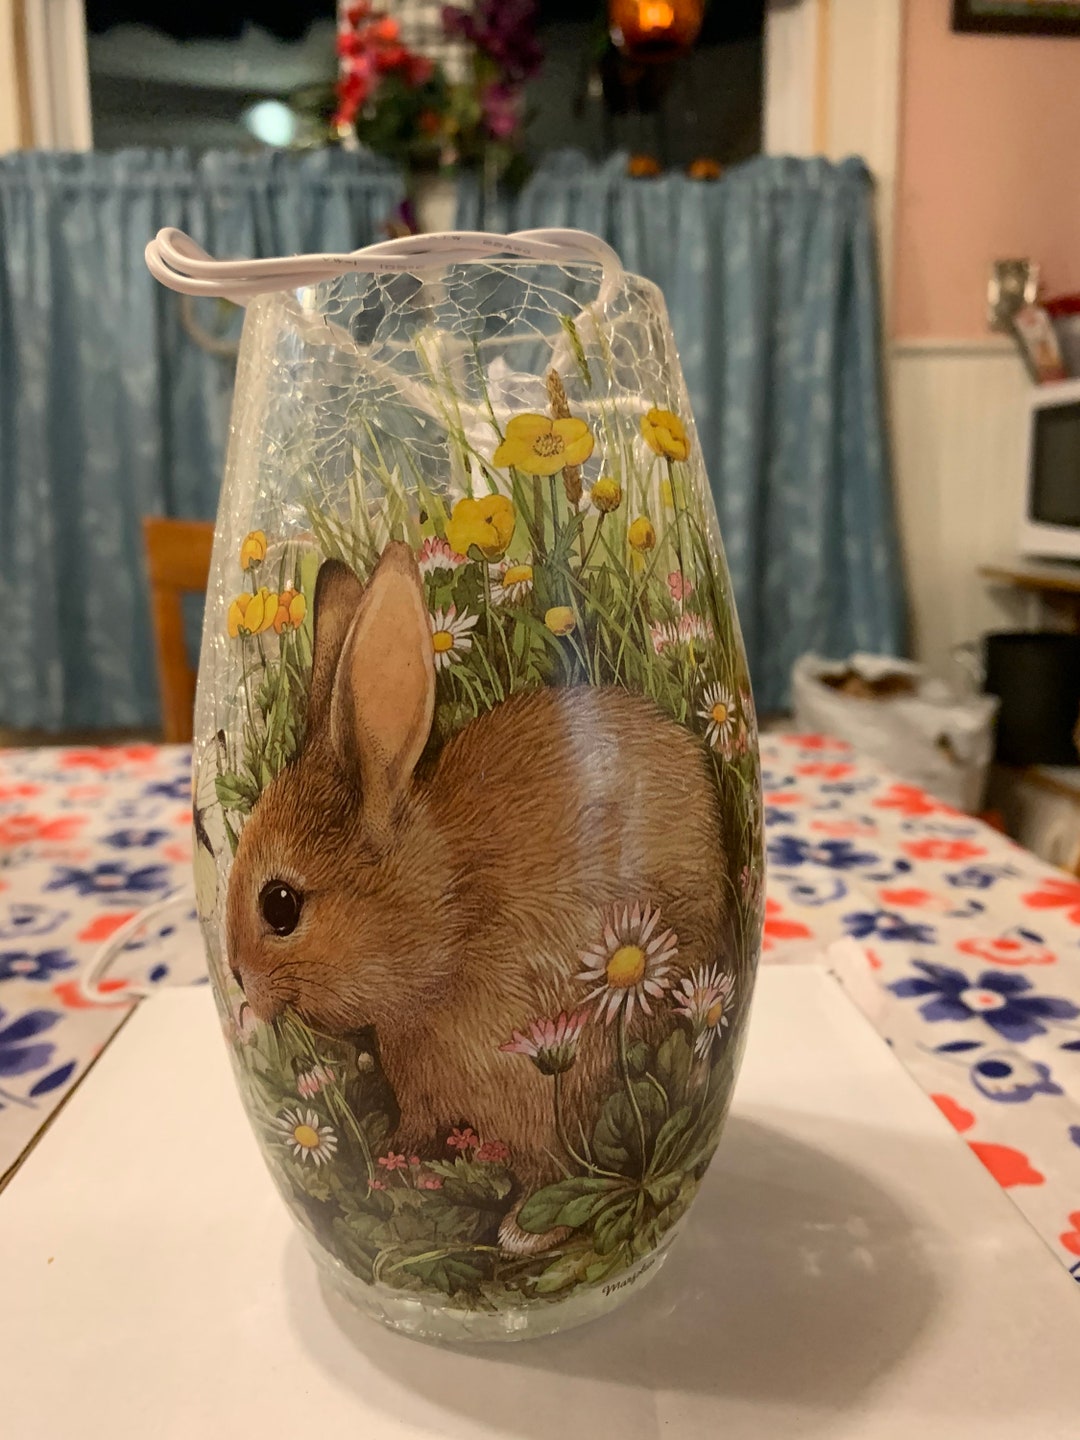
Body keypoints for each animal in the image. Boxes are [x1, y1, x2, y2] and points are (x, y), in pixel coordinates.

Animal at [226, 541, 729, 1249]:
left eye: (279, 906)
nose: (239, 979)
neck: (450, 920)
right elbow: (419, 1130)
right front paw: (394, 1167)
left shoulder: (549, 1079)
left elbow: (549, 1168)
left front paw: (523, 1233)